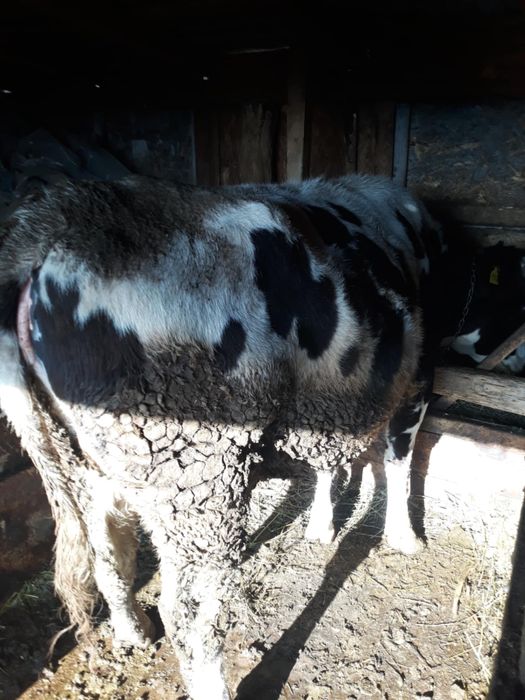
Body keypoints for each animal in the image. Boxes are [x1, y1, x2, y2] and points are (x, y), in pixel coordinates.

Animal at [0, 173, 507, 699]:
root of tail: (53, 222)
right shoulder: (419, 376)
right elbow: (399, 460)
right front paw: (404, 536)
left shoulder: (329, 398)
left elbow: (328, 463)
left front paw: (321, 527)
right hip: (194, 476)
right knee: (189, 614)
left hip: (88, 464)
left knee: (109, 558)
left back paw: (133, 632)